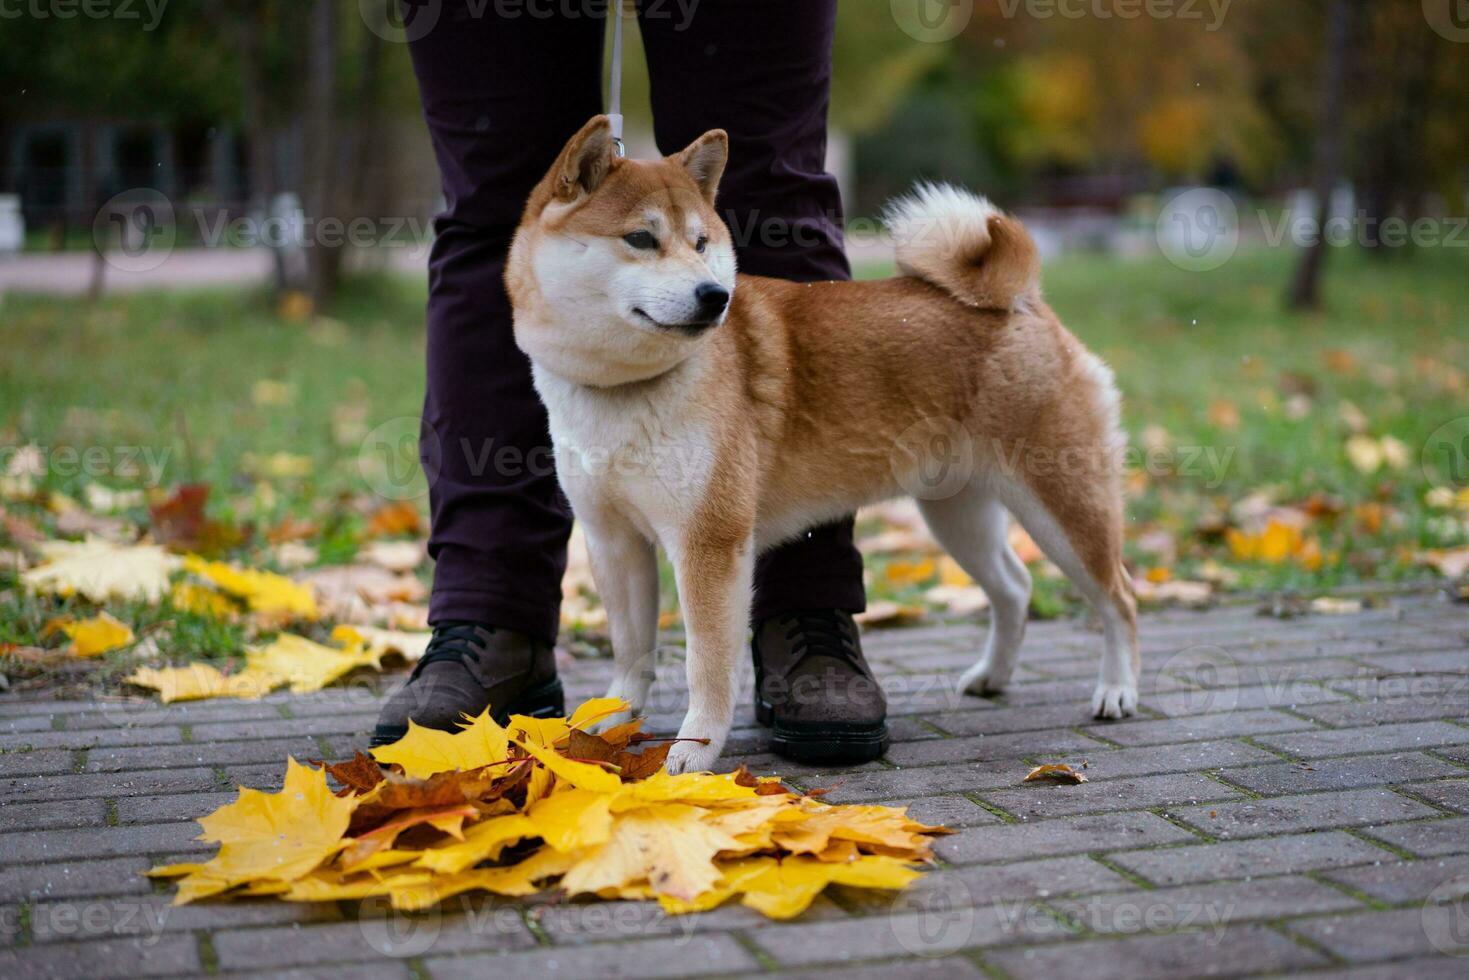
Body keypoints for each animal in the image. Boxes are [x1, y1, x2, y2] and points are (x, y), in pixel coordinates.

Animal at [511, 115, 1139, 775]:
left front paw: (693, 753)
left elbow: (706, 663)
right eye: (639, 238)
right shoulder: (612, 538)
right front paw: (606, 725)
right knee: (1015, 587)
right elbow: (631, 654)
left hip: (1062, 508)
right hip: (957, 514)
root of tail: (1019, 301)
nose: (714, 295)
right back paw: (992, 676)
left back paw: (1117, 690)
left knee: (1118, 596)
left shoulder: (709, 543)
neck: (624, 389)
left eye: (701, 243)